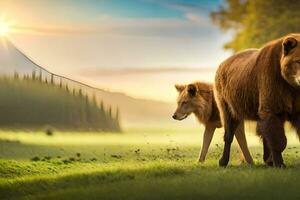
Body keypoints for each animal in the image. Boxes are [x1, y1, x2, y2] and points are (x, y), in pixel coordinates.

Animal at [214, 33, 300, 167]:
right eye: (298, 61)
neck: (291, 86)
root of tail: (223, 63)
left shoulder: (294, 99)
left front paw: (273, 160)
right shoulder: (273, 87)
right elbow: (276, 133)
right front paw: (279, 163)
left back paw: (268, 160)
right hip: (228, 101)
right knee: (229, 127)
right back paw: (223, 160)